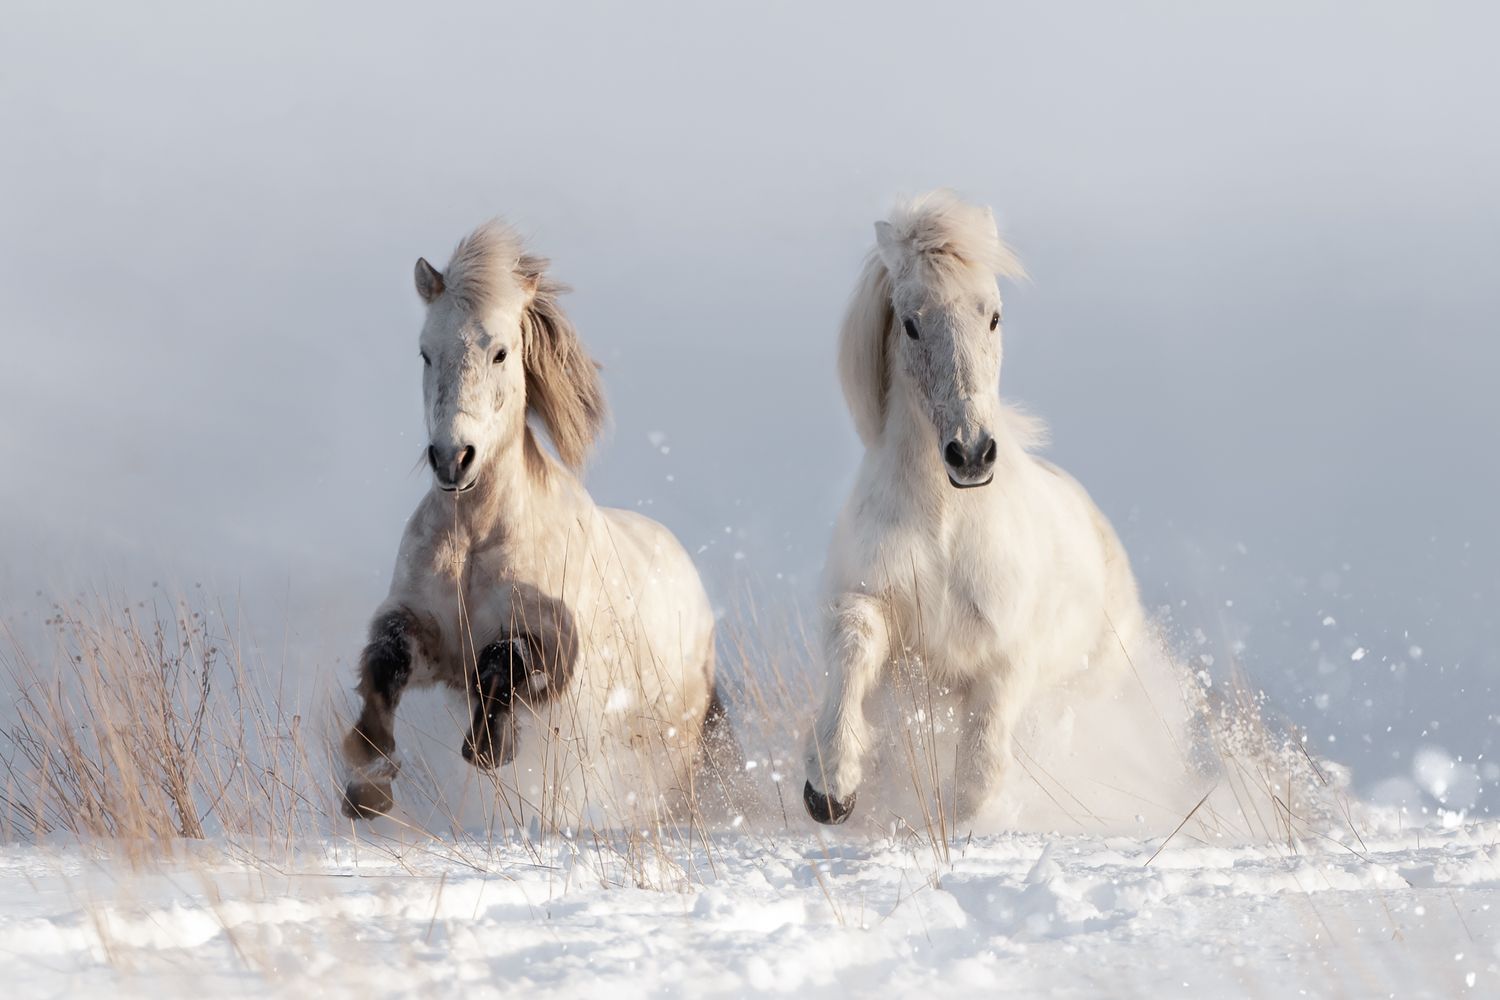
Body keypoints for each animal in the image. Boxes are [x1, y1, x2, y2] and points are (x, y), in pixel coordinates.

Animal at [341, 219, 726, 829]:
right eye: (426, 353)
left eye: (500, 352)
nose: (453, 460)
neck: (474, 540)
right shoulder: (429, 639)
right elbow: (385, 662)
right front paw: (367, 784)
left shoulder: (552, 652)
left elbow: (506, 658)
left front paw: (490, 746)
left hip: (664, 743)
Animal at [802, 190, 1154, 826]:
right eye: (911, 323)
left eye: (993, 316)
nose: (970, 454)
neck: (946, 524)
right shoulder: (868, 603)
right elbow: (852, 651)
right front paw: (831, 784)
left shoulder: (1005, 660)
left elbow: (976, 773)